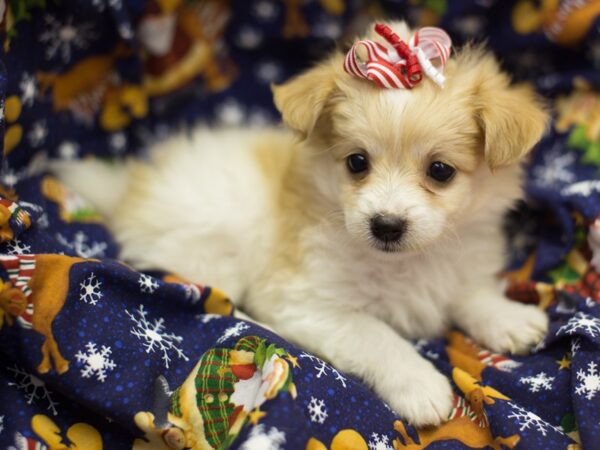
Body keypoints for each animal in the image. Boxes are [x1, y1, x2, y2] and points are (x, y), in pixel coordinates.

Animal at [57, 21, 548, 428]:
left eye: (440, 171)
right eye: (356, 163)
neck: (409, 263)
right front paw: (420, 384)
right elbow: (376, 333)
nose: (386, 225)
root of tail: (128, 189)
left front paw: (508, 317)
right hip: (211, 248)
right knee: (220, 303)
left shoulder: (456, 265)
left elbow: (470, 292)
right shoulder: (308, 300)